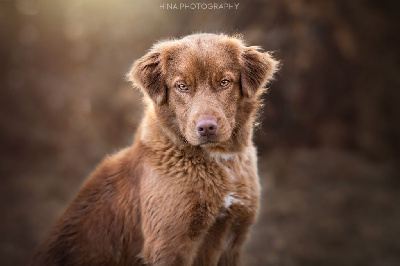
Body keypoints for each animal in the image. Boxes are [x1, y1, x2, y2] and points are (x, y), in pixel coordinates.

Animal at [32, 33, 278, 266]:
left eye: (224, 82)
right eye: (182, 86)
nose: (207, 128)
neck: (219, 160)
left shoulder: (234, 239)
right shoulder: (169, 245)